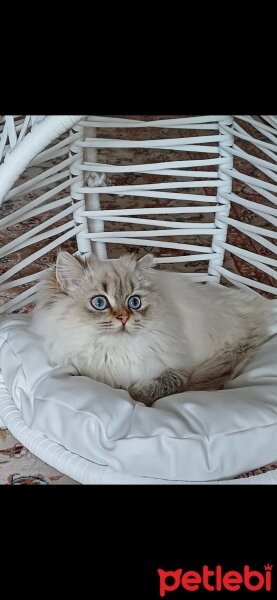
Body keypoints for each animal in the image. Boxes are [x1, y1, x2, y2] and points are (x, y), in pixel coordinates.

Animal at [30, 251, 270, 406]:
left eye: (134, 302)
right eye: (99, 303)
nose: (124, 318)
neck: (115, 351)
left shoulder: (177, 368)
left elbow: (148, 390)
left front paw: (135, 393)